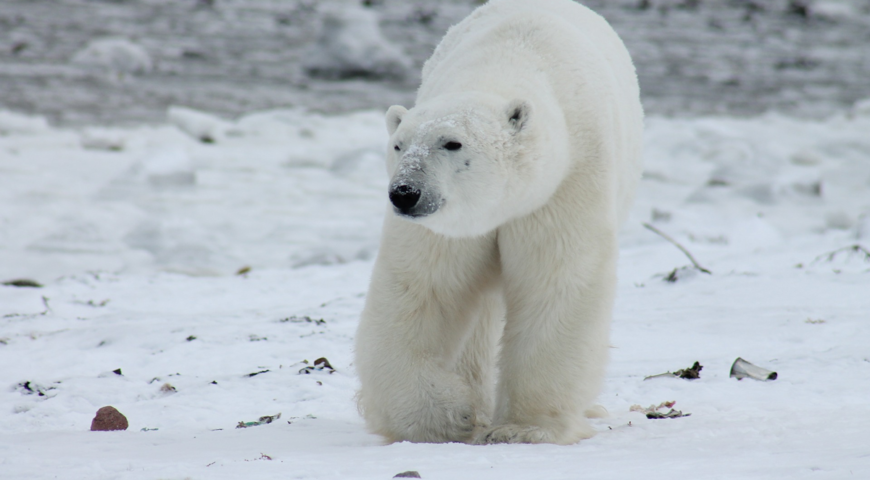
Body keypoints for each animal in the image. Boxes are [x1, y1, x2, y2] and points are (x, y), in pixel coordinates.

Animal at [350, 0, 644, 444]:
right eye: (398, 145)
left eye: (452, 143)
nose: (405, 192)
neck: (506, 63)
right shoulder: (450, 227)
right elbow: (422, 288)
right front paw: (446, 416)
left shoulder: (564, 184)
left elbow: (555, 283)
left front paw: (524, 428)